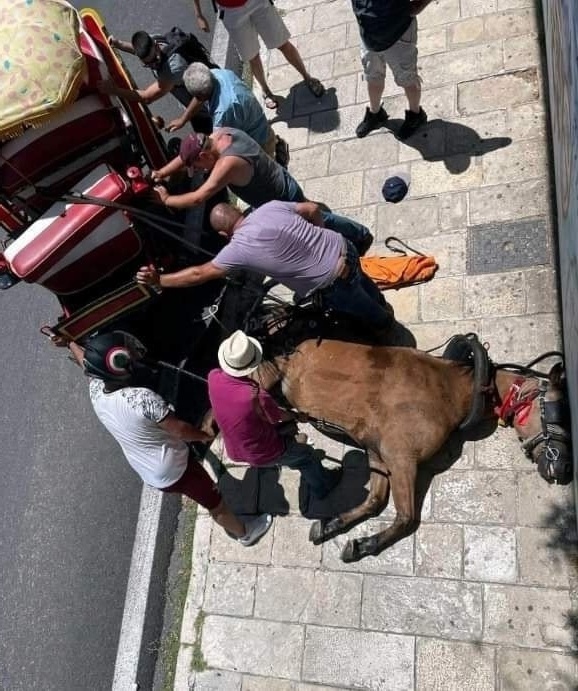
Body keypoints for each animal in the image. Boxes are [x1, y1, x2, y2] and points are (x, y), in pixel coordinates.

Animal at [253, 306, 572, 564]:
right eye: (558, 411)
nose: (562, 468)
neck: (454, 390)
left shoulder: (378, 452)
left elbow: (374, 501)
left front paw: (334, 525)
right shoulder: (401, 457)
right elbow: (406, 517)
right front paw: (365, 544)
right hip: (266, 375)